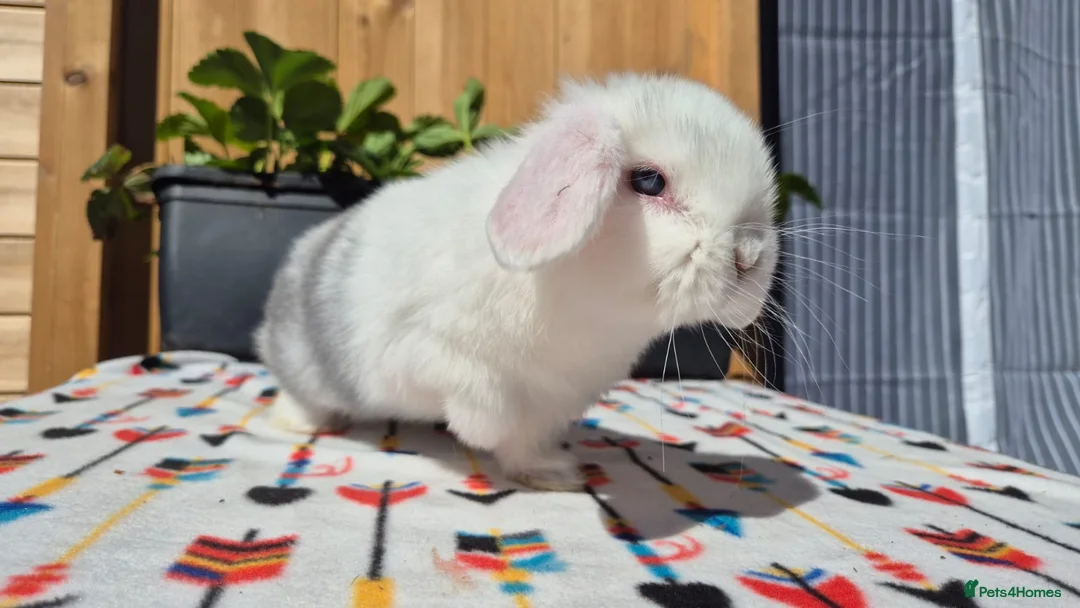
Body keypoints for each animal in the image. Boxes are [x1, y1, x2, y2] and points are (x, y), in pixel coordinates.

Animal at [253, 72, 780, 491]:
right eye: (649, 181)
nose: (747, 257)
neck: (585, 304)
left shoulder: (550, 402)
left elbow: (523, 441)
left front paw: (551, 475)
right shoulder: (424, 350)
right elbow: (487, 404)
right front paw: (477, 432)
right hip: (307, 372)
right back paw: (299, 424)